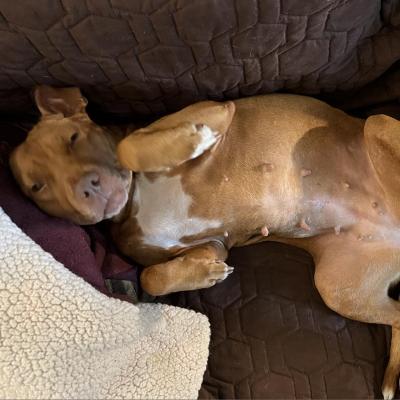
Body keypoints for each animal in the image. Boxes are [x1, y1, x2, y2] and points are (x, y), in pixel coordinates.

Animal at [7, 86, 400, 398]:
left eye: (73, 138)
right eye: (37, 186)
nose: (87, 188)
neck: (133, 200)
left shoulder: (214, 109)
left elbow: (129, 147)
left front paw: (194, 139)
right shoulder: (213, 243)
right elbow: (152, 276)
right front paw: (206, 274)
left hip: (377, 122)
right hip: (338, 290)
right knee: (397, 317)